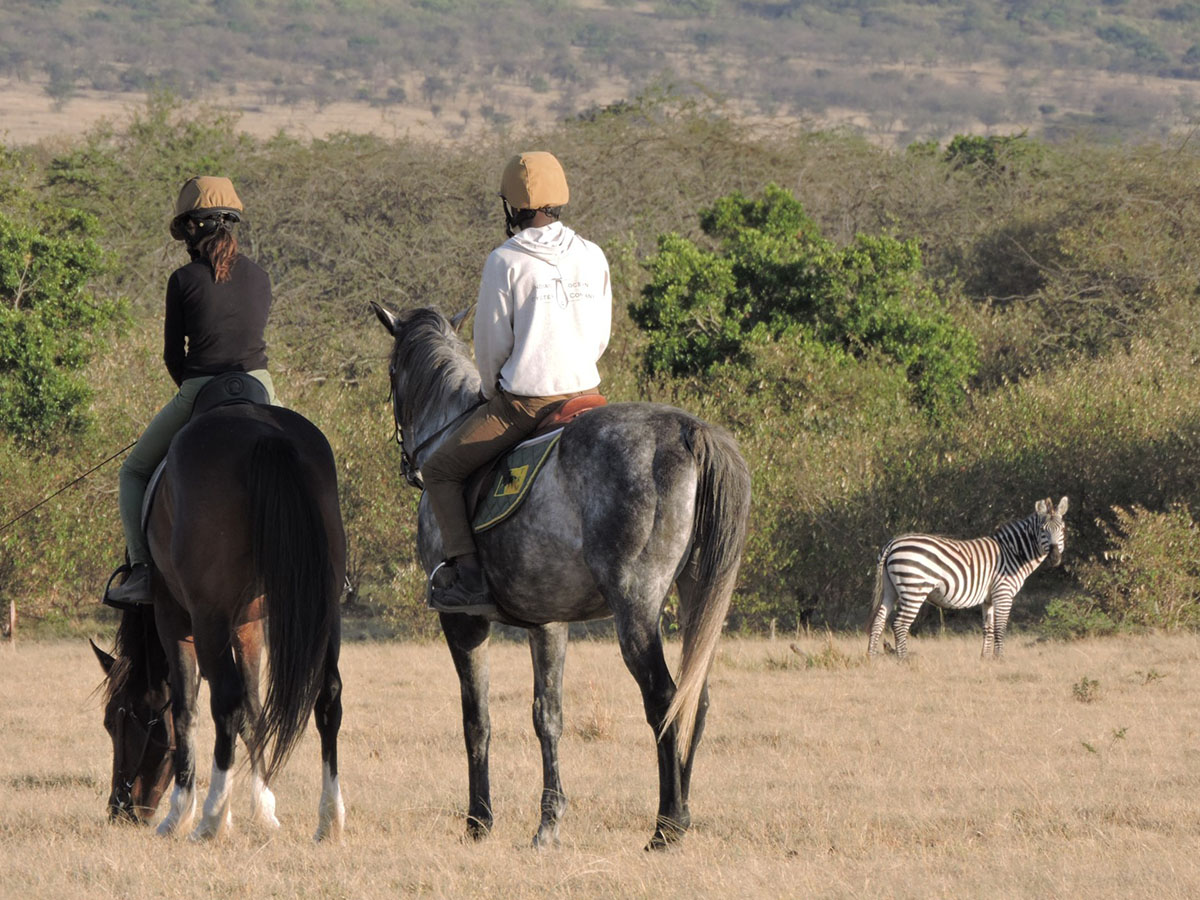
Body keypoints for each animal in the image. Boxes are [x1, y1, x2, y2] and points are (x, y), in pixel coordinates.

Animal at [91, 405, 348, 844]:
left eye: (116, 720)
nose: (119, 810)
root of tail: (265, 432)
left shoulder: (175, 619)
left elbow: (187, 710)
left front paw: (185, 812)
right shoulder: (249, 626)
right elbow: (254, 710)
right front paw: (263, 808)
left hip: (207, 618)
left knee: (223, 702)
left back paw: (209, 820)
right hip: (324, 612)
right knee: (327, 694)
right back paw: (329, 817)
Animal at [372, 304, 748, 854]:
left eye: (392, 372)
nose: (407, 463)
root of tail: (688, 430)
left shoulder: (462, 623)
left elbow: (476, 720)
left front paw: (478, 821)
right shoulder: (549, 623)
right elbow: (547, 717)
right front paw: (548, 822)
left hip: (636, 607)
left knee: (663, 699)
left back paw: (668, 824)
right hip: (698, 593)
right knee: (694, 699)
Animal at [864, 496, 1070, 657]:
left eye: (1062, 529)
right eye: (1043, 530)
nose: (1055, 558)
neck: (1013, 553)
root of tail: (892, 543)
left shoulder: (988, 598)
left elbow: (988, 628)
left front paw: (986, 659)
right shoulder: (1003, 592)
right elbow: (1000, 627)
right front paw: (1000, 658)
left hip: (891, 589)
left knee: (878, 621)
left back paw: (872, 658)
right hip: (914, 589)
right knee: (899, 624)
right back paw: (904, 660)